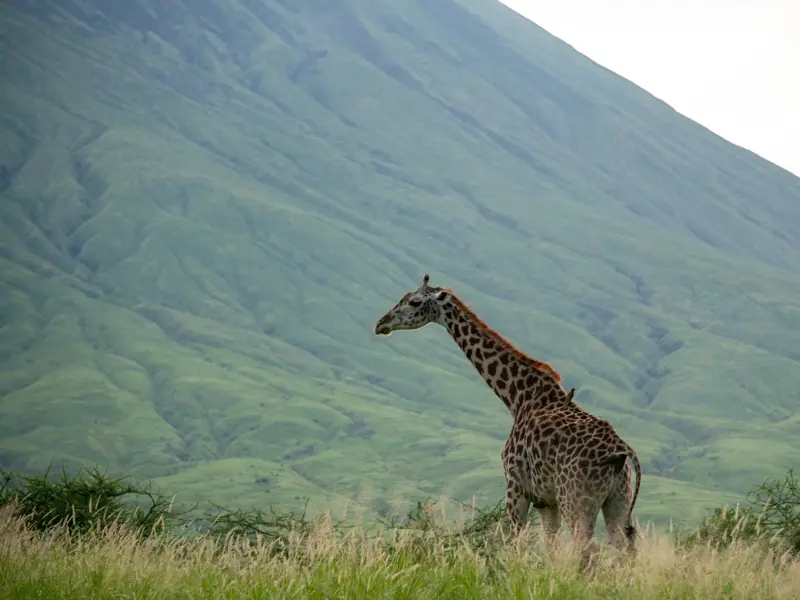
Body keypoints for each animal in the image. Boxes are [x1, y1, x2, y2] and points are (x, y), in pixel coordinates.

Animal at [374, 274, 642, 568]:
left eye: (414, 301)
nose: (381, 324)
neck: (518, 397)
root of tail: (620, 451)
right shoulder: (546, 500)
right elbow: (550, 548)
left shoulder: (515, 487)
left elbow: (516, 544)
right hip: (617, 500)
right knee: (624, 549)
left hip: (576, 499)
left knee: (588, 551)